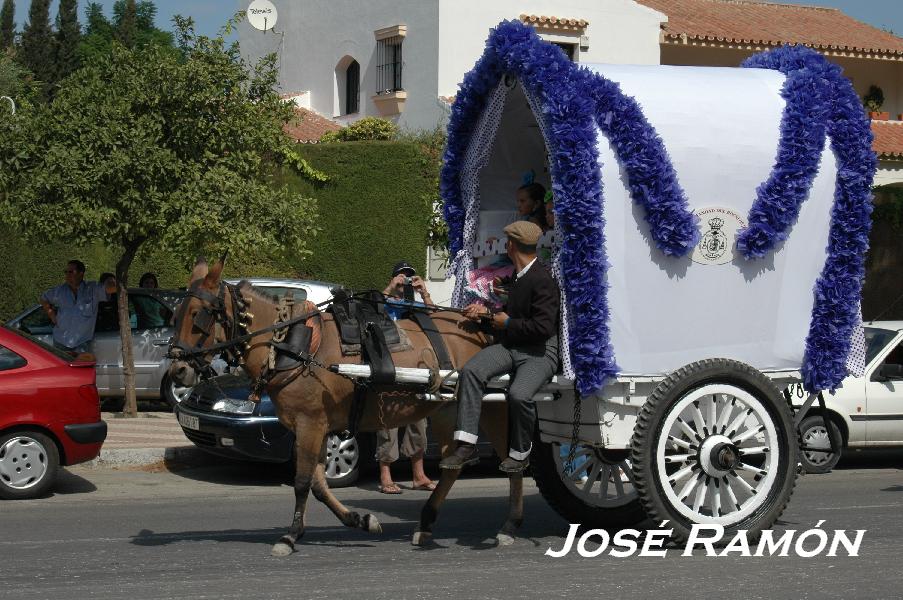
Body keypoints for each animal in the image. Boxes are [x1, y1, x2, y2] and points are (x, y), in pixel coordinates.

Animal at [168, 255, 528, 556]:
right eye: (176, 314)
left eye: (198, 316)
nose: (178, 370)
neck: (290, 344)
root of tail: (483, 327)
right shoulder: (310, 427)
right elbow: (317, 484)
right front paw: (359, 520)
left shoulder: (311, 423)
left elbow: (302, 482)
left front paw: (290, 535)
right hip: (444, 408)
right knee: (453, 463)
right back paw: (427, 522)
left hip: (491, 405)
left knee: (511, 460)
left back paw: (510, 524)